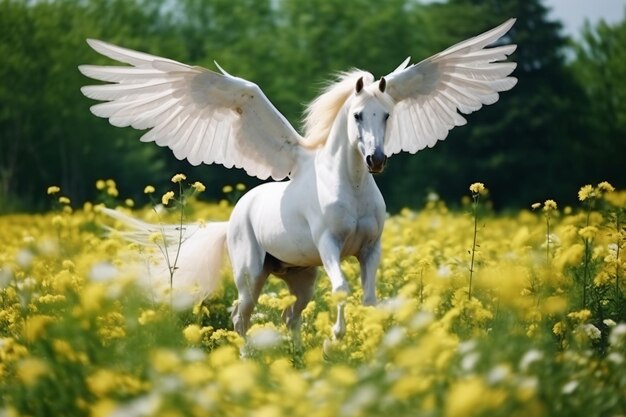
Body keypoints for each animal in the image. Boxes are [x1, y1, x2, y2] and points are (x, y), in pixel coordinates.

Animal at [78, 17, 516, 340]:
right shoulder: (330, 246)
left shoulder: (370, 249)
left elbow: (370, 298)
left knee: (290, 315)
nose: (376, 160)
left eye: (388, 115)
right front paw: (336, 341)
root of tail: (234, 215)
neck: (351, 185)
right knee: (240, 316)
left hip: (300, 276)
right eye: (358, 115)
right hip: (251, 273)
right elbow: (342, 290)